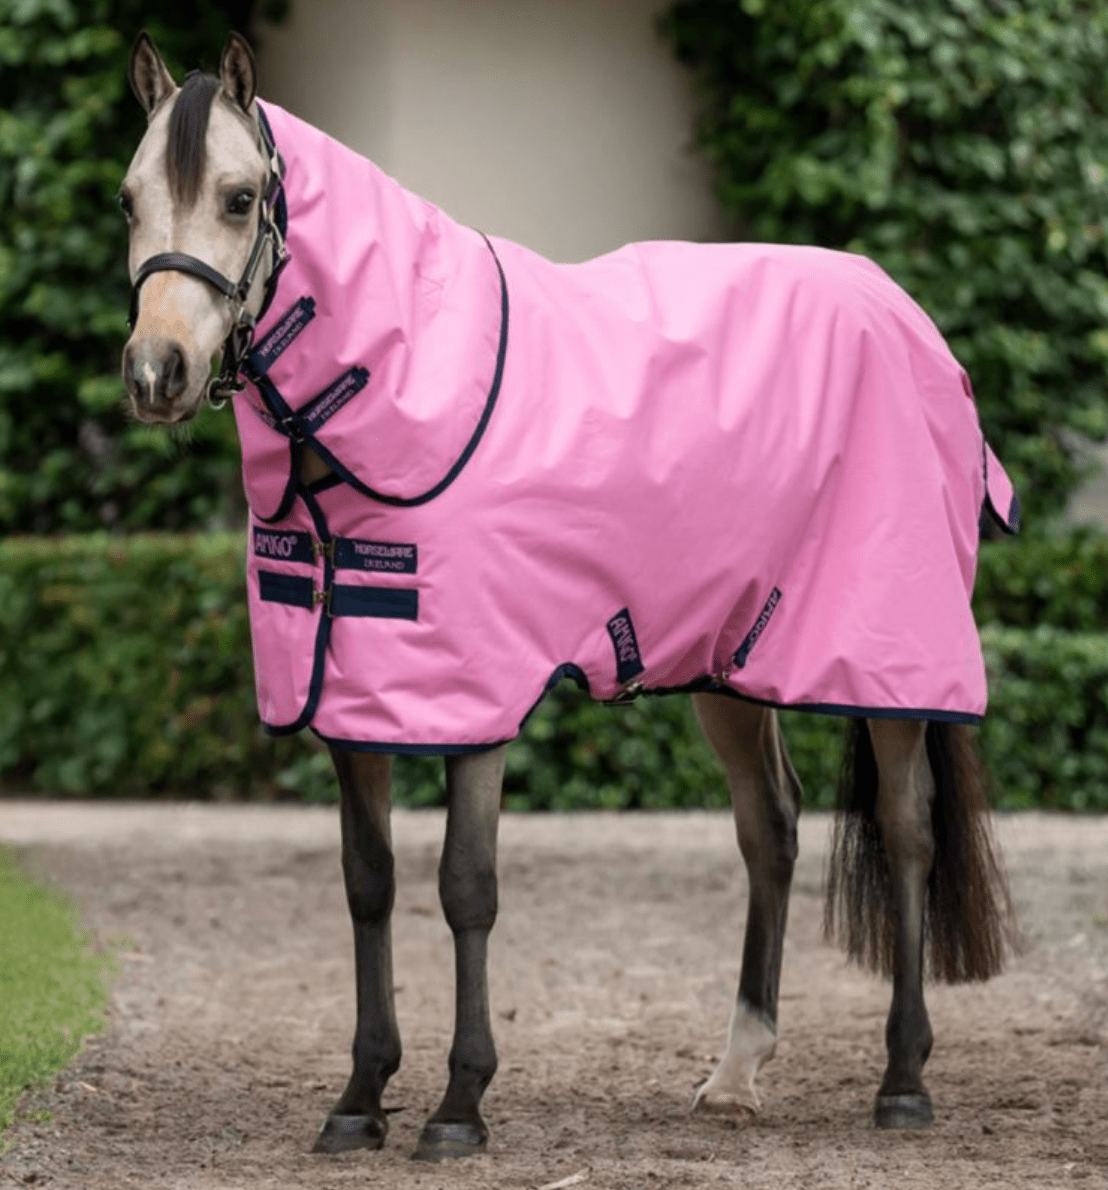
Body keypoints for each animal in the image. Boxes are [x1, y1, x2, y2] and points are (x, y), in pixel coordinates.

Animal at [119, 31, 1019, 1162]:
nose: (156, 372)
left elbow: (465, 886)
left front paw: (459, 1104)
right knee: (769, 827)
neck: (402, 391)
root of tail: (905, 313)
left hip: (890, 661)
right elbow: (368, 882)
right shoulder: (353, 699)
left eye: (239, 199)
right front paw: (361, 1096)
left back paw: (902, 1079)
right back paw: (737, 1070)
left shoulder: (475, 695)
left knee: (906, 831)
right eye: (127, 200)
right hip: (726, 659)